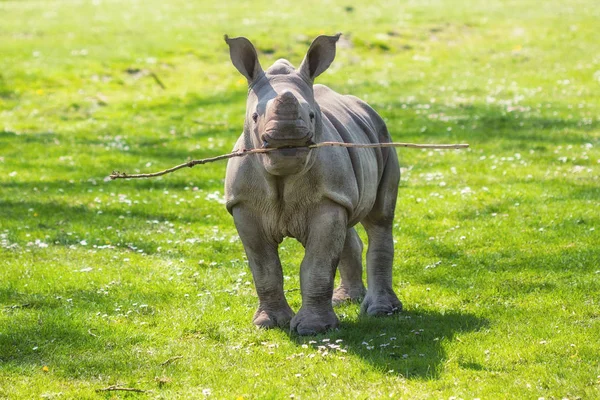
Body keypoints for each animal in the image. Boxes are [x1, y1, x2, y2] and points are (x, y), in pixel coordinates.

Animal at [223, 33, 400, 334]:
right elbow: (264, 267)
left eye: (312, 116)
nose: (287, 138)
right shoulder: (243, 205)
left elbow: (317, 264)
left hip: (383, 136)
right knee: (349, 221)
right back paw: (346, 300)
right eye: (255, 117)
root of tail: (364, 106)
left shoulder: (326, 199)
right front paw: (269, 323)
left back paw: (382, 311)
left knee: (380, 219)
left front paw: (313, 329)